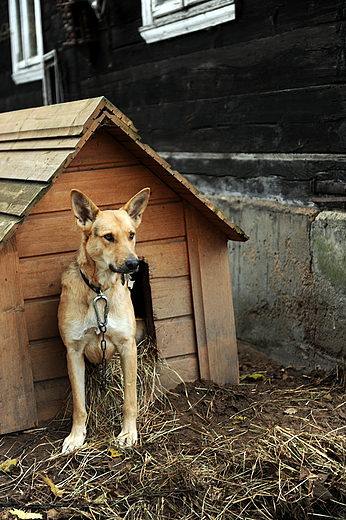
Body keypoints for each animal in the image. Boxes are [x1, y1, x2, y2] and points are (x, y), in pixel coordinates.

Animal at [57, 189, 149, 452]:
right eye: (109, 237)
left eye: (131, 235)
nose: (134, 264)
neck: (99, 290)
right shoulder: (73, 352)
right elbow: (79, 404)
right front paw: (76, 436)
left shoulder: (128, 347)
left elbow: (130, 399)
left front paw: (128, 433)